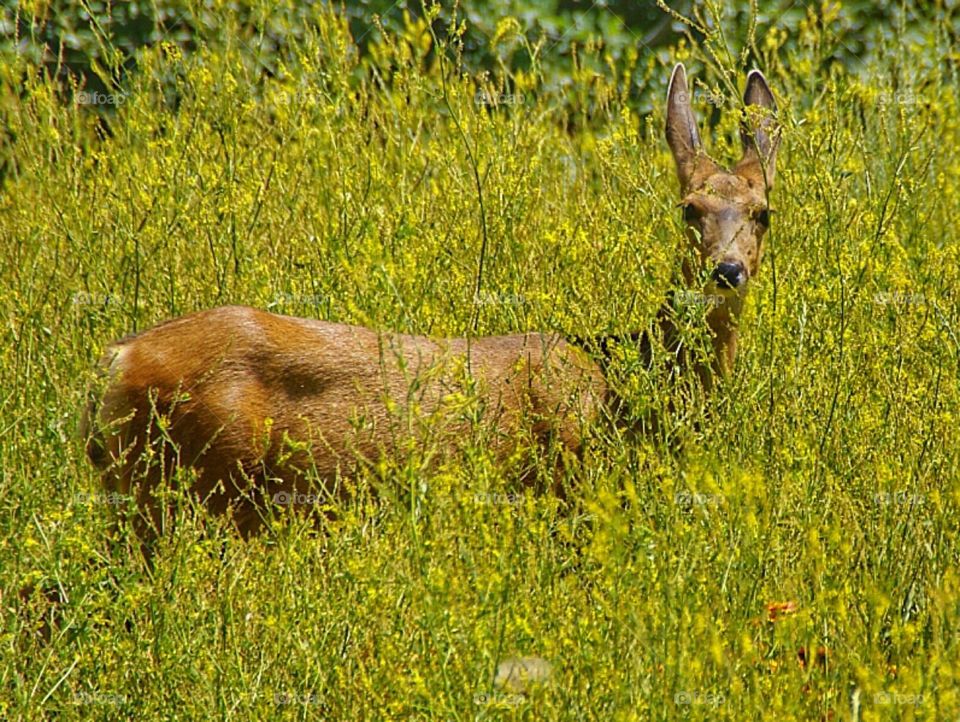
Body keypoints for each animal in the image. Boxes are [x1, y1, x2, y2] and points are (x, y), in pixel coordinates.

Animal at [81, 64, 779, 545]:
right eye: (688, 209)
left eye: (762, 213)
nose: (728, 270)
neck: (626, 379)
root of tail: (117, 358)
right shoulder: (570, 487)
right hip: (184, 493)